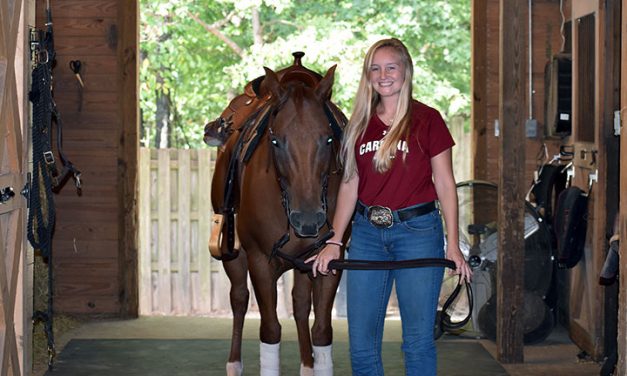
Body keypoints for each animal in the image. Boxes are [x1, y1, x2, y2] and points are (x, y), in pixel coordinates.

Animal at [210, 56, 348, 376]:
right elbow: (270, 330)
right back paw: (234, 364)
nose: (308, 220)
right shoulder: (260, 260)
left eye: (327, 139)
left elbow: (321, 330)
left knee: (299, 305)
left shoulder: (329, 261)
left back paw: (307, 365)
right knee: (239, 299)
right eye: (275, 141)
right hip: (234, 254)